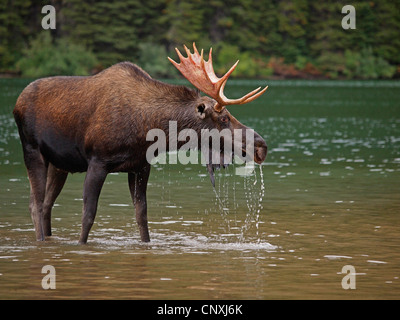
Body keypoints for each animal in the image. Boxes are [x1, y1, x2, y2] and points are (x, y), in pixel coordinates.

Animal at [13, 42, 268, 242]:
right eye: (224, 118)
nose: (261, 145)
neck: (148, 130)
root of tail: (17, 102)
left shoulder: (140, 166)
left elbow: (142, 216)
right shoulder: (98, 161)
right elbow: (88, 215)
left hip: (59, 164)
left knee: (47, 205)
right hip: (32, 149)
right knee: (35, 204)